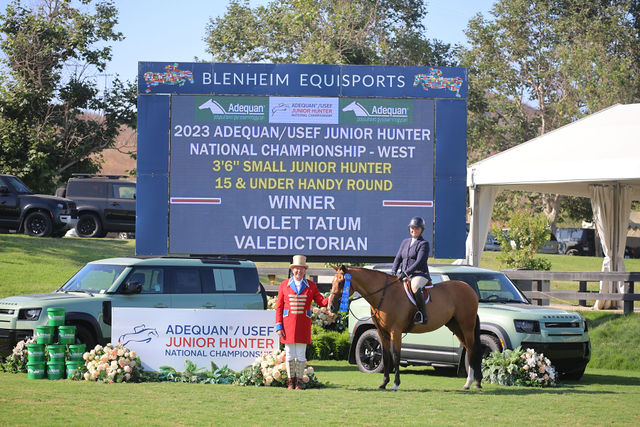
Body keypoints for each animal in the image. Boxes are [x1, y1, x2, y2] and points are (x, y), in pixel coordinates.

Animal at [330, 268, 480, 392]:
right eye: (332, 282)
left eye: (342, 282)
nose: (331, 306)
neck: (385, 295)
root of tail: (469, 288)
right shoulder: (382, 332)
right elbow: (385, 355)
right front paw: (383, 383)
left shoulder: (395, 331)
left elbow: (396, 356)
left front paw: (395, 384)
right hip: (456, 326)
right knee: (469, 349)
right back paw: (475, 383)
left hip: (466, 326)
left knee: (472, 350)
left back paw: (469, 383)